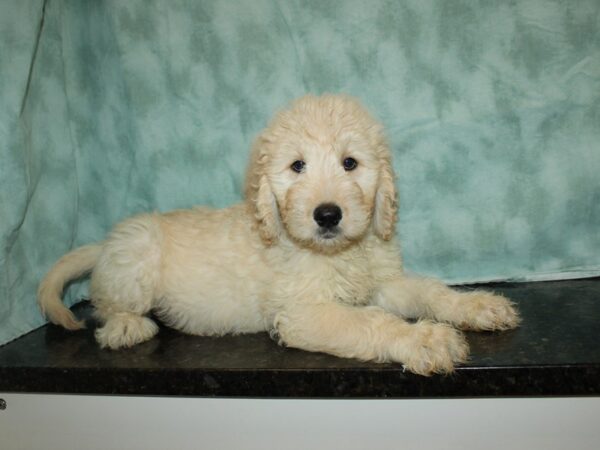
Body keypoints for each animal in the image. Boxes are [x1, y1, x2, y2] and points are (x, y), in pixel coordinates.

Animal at [37, 94, 516, 376]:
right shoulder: (302, 312)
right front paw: (424, 339)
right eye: (297, 166)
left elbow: (429, 291)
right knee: (105, 306)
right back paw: (126, 327)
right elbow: (372, 322)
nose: (327, 215)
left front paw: (477, 306)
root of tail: (105, 246)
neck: (339, 253)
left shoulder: (383, 283)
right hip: (137, 255)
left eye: (350, 163)